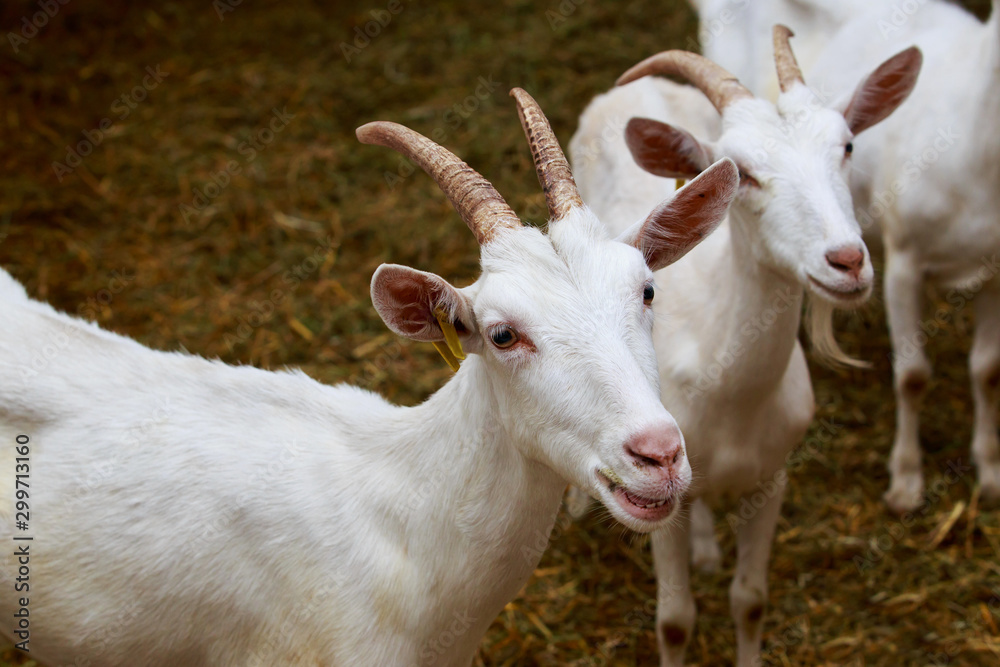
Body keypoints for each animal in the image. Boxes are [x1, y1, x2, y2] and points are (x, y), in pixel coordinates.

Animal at [572, 32, 920, 667]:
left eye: (847, 145)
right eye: (749, 175)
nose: (847, 261)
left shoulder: (771, 479)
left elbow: (750, 601)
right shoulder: (658, 505)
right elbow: (675, 621)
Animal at [808, 0, 1000, 516]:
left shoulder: (996, 270)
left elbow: (987, 371)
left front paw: (991, 473)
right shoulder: (903, 258)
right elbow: (913, 376)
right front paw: (906, 485)